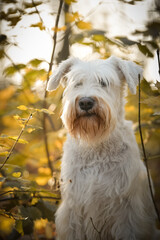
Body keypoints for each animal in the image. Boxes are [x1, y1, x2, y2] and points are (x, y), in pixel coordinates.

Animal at [47, 56, 159, 240]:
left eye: (104, 82)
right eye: (77, 83)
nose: (85, 102)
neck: (95, 145)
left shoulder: (127, 212)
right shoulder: (73, 209)